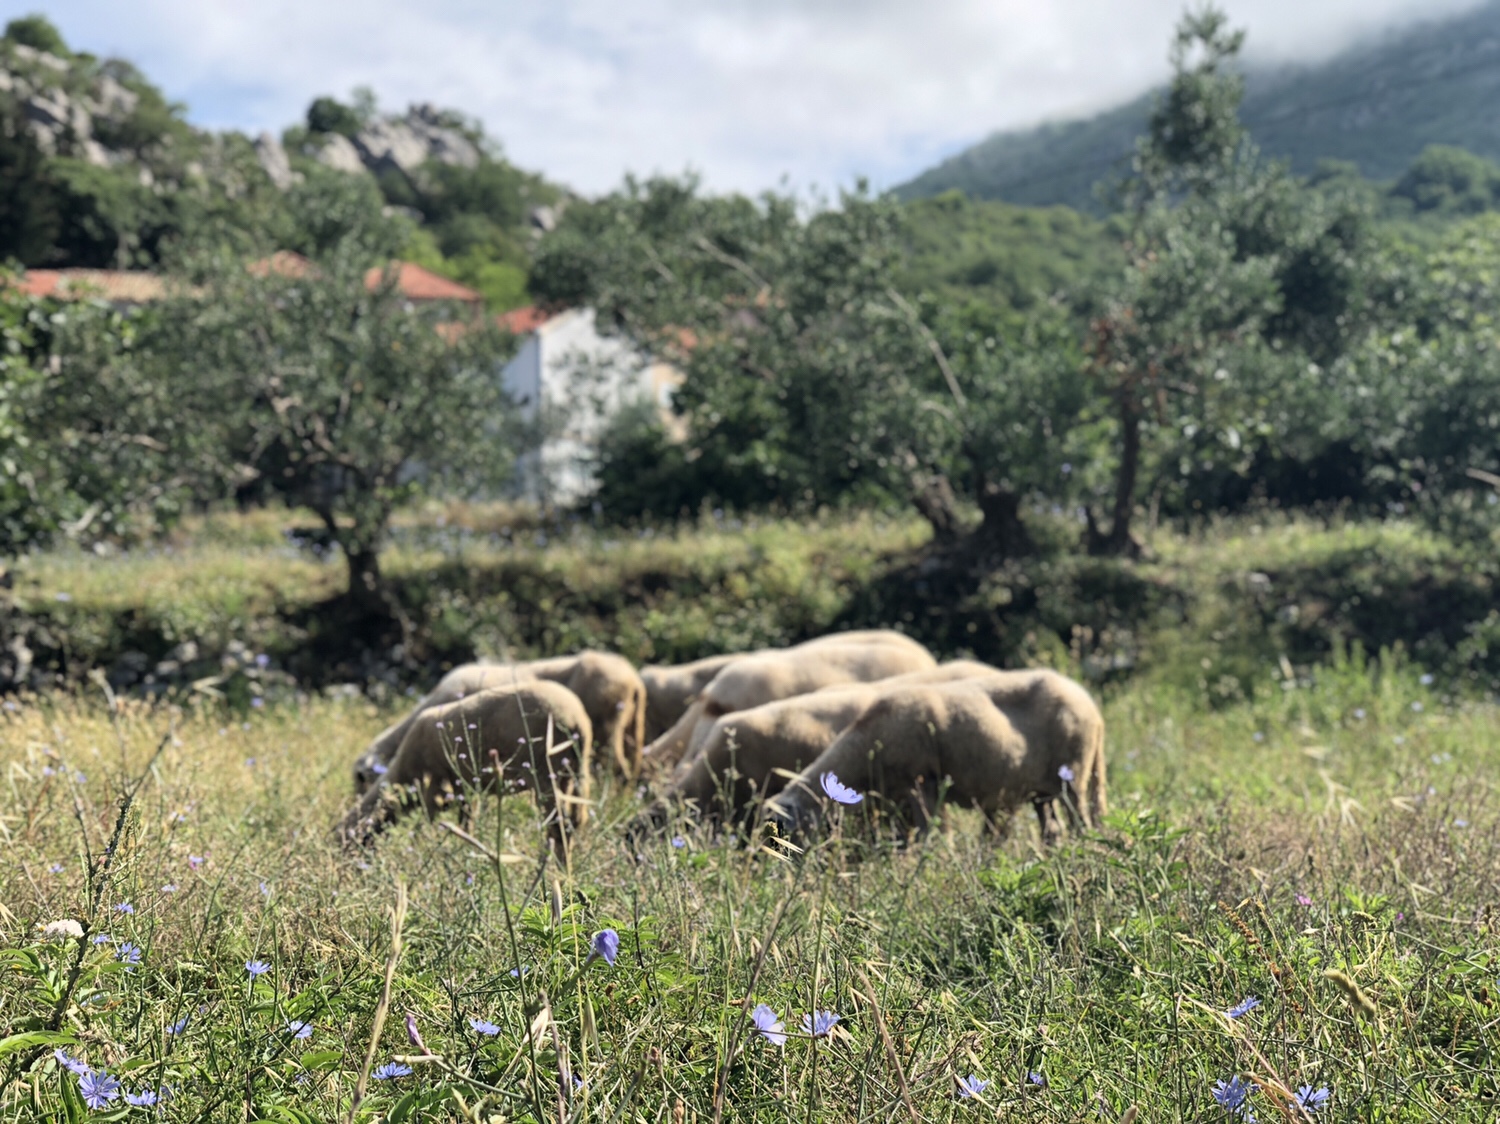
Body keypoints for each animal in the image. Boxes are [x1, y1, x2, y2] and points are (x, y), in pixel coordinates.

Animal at [340, 678, 591, 852]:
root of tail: (577, 721)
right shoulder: (464, 788)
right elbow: (465, 822)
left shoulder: (439, 785)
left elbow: (435, 822)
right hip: (575, 773)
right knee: (576, 821)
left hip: (545, 773)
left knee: (558, 825)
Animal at [768, 666, 1110, 840]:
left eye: (788, 831)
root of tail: (1092, 708)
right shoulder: (902, 798)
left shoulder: (923, 784)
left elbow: (930, 832)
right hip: (1043, 791)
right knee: (1052, 830)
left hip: (1073, 777)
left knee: (1081, 824)